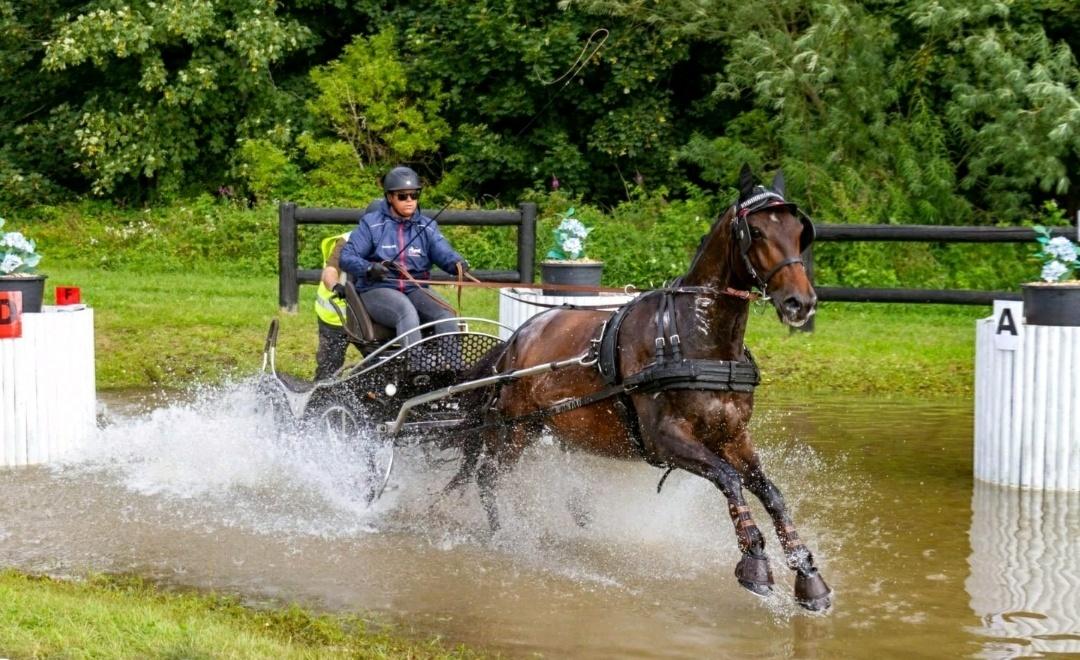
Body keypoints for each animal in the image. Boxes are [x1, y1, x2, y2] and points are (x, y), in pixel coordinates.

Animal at [451, 165, 829, 609]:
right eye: (756, 231)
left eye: (799, 232)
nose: (800, 303)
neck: (697, 339)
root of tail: (515, 340)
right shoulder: (665, 439)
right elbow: (729, 480)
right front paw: (754, 562)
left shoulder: (732, 436)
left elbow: (771, 493)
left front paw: (807, 574)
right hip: (513, 431)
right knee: (488, 478)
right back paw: (505, 536)